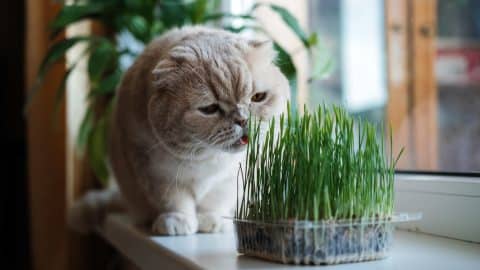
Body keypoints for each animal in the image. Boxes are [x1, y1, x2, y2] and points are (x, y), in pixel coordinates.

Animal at [68, 26, 288, 235]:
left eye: (258, 97)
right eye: (210, 109)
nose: (243, 120)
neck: (207, 158)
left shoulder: (230, 178)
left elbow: (215, 201)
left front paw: (211, 220)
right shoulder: (154, 171)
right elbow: (173, 200)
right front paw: (177, 222)